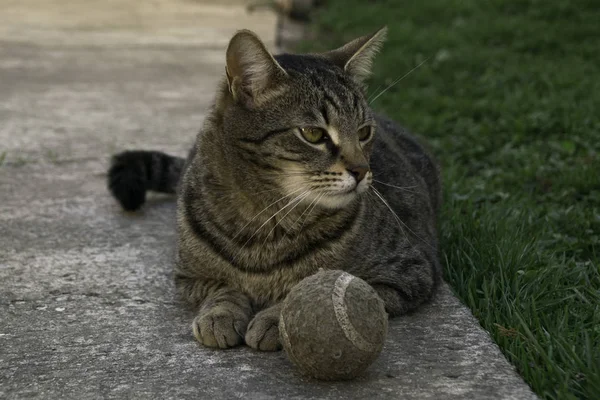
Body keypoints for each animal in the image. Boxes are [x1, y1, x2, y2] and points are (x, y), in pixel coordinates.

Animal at [109, 27, 440, 350]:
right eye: (313, 134)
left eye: (364, 132)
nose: (362, 171)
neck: (265, 220)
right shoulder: (187, 277)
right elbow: (223, 288)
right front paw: (221, 315)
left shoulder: (408, 272)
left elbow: (321, 288)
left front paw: (275, 319)